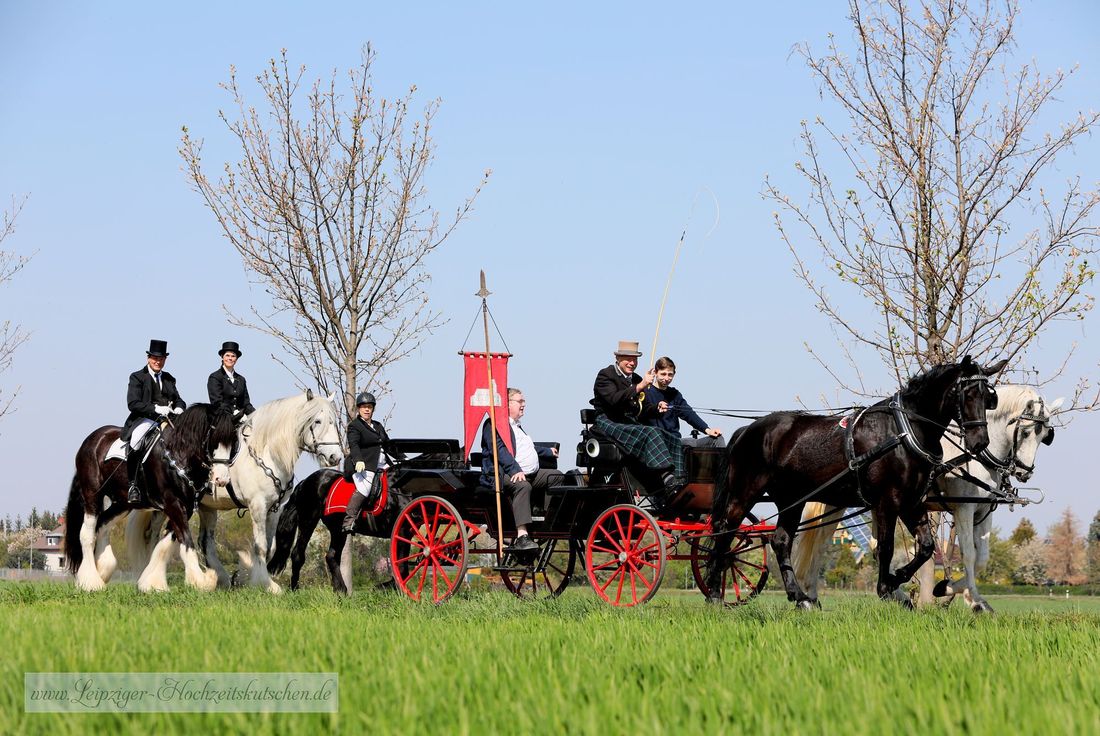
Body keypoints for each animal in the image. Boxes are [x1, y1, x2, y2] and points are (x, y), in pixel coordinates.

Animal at [63, 402, 235, 589]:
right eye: (213, 440)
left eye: (232, 442)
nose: (222, 479)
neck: (179, 455)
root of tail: (92, 439)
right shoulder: (173, 503)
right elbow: (186, 540)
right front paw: (201, 581)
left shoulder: (185, 507)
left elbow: (166, 543)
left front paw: (152, 582)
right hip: (92, 495)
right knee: (87, 533)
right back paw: (90, 581)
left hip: (123, 503)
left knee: (102, 525)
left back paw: (103, 570)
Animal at [125, 389, 338, 589]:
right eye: (317, 421)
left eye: (333, 421)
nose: (334, 457)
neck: (267, 455)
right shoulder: (257, 506)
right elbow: (261, 546)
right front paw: (263, 583)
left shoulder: (274, 509)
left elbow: (269, 547)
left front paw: (243, 577)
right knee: (156, 535)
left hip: (204, 508)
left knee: (202, 541)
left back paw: (218, 578)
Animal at [704, 352, 1007, 607]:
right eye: (967, 394)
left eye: (988, 398)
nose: (980, 442)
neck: (903, 432)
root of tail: (747, 429)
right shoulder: (888, 501)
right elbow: (885, 547)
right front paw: (886, 587)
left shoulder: (912, 502)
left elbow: (926, 547)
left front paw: (897, 581)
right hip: (745, 493)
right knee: (725, 532)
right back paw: (714, 592)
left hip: (792, 499)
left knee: (780, 541)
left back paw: (799, 596)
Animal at [792, 382, 1056, 611]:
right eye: (1026, 431)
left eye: (1045, 435)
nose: (1024, 471)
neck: (973, 455)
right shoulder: (964, 508)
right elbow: (969, 554)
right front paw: (973, 600)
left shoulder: (982, 511)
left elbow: (982, 557)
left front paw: (948, 587)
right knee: (822, 546)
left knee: (854, 546)